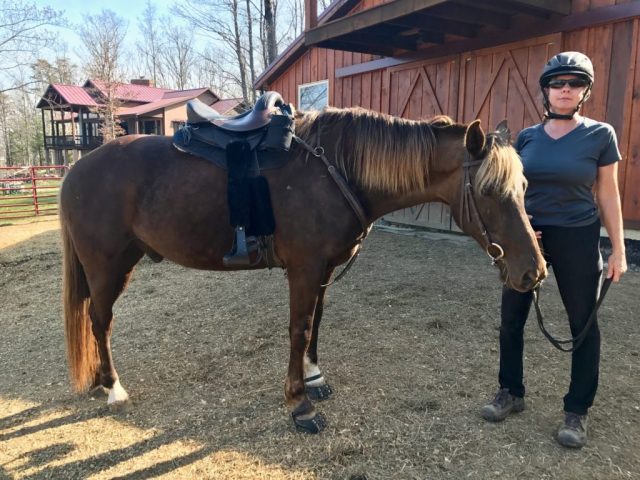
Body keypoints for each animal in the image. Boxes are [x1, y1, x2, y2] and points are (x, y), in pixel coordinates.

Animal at [61, 107, 544, 434]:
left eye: (523, 187)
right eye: (489, 191)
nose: (534, 272)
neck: (337, 170)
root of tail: (76, 169)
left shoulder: (323, 269)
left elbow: (318, 322)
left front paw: (313, 377)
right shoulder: (305, 269)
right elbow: (300, 328)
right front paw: (299, 403)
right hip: (108, 267)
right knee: (100, 321)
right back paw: (113, 388)